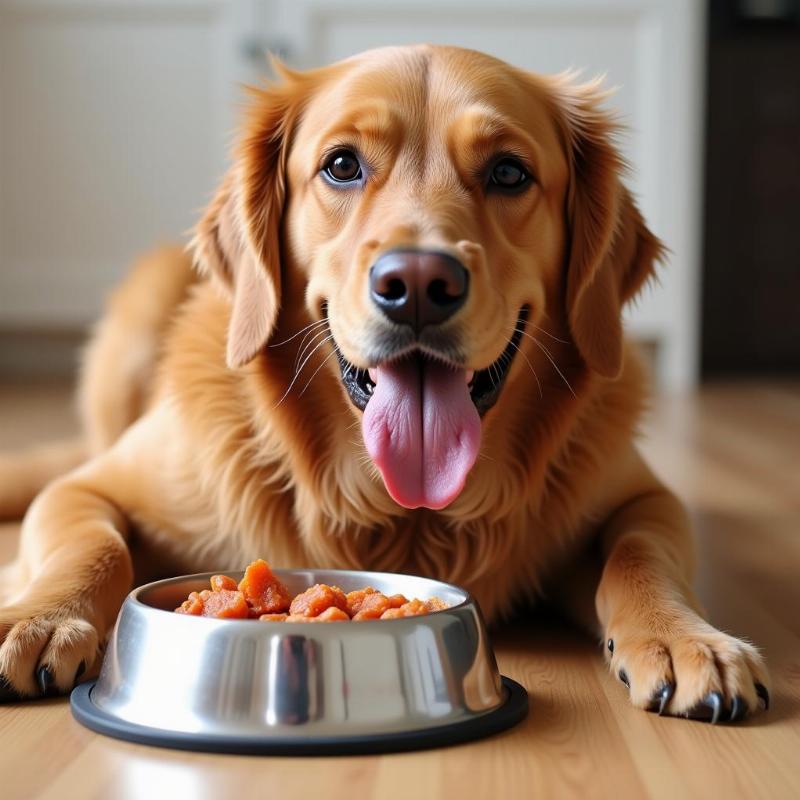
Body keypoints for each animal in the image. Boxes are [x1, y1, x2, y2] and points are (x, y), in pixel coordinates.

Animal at [0, 43, 768, 720]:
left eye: (509, 173)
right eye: (341, 165)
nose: (420, 285)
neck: (404, 516)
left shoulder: (643, 496)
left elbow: (642, 554)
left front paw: (683, 638)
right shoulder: (91, 489)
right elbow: (91, 544)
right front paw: (40, 618)